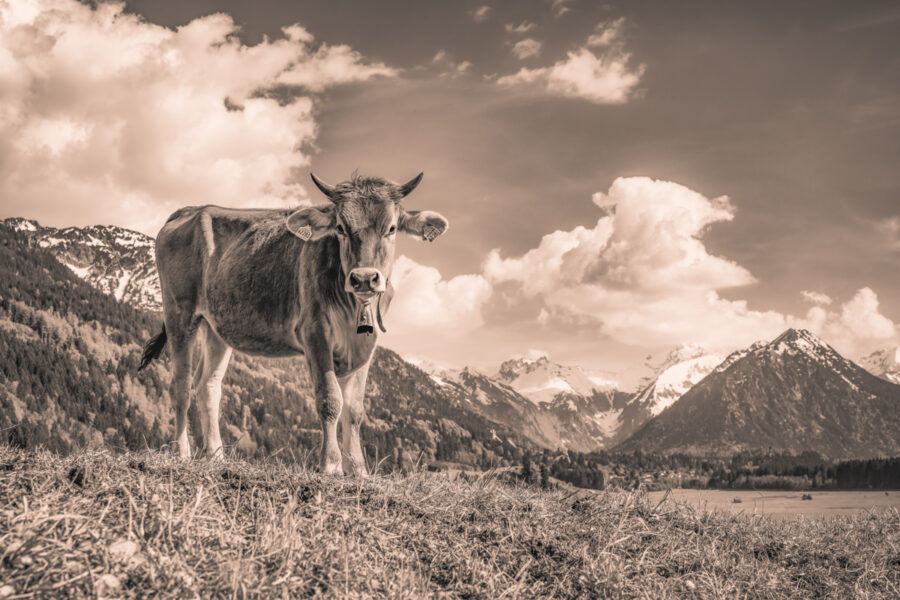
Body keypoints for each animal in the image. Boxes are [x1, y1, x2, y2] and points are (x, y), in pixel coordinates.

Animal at [139, 172, 448, 474]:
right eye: (340, 228)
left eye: (392, 228)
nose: (363, 278)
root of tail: (191, 210)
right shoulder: (315, 333)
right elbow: (330, 399)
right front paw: (331, 464)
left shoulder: (366, 343)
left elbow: (355, 410)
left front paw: (358, 469)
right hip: (180, 313)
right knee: (181, 385)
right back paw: (182, 453)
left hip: (218, 327)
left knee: (208, 386)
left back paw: (215, 456)